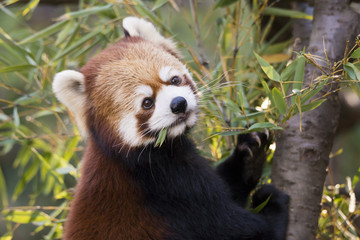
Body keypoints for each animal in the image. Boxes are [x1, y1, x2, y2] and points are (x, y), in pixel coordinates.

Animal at [52, 15, 288, 239]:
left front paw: (251, 152)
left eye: (174, 80)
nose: (179, 104)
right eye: (147, 102)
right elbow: (234, 229)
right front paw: (273, 204)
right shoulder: (168, 185)